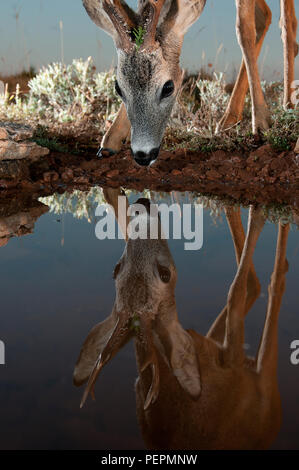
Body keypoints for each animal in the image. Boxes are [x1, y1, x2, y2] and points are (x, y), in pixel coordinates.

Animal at [73, 189, 290, 450]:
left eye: (115, 268)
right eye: (165, 274)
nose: (143, 203)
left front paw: (115, 193)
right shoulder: (232, 360)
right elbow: (236, 290)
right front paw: (258, 213)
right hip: (267, 396)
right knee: (267, 285)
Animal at [82, 0, 298, 165]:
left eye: (168, 87)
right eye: (118, 88)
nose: (143, 155)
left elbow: (243, 29)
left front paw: (261, 122)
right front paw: (111, 138)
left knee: (285, 21)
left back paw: (286, 104)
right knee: (267, 15)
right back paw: (229, 118)